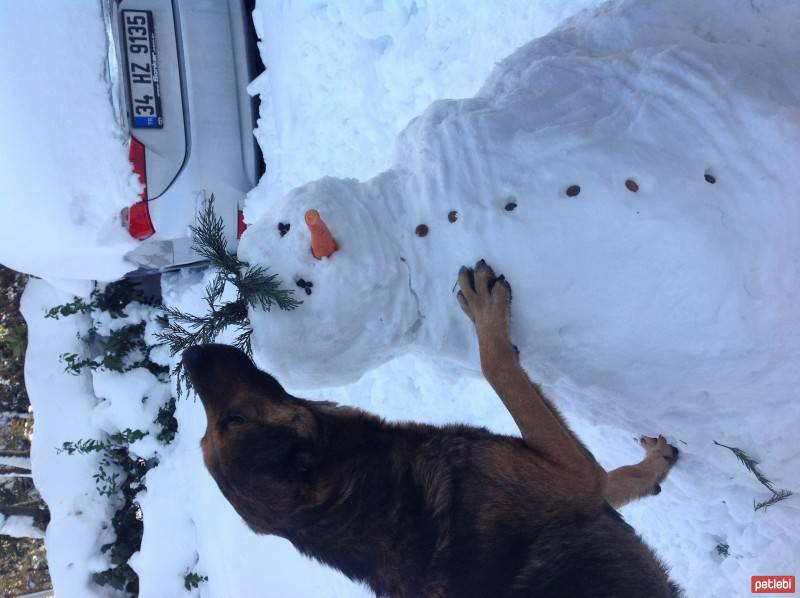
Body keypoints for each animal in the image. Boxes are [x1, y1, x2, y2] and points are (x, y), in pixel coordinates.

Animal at [183, 262, 680, 598]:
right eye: (234, 420)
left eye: (210, 434)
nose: (188, 356)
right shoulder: (576, 475)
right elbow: (498, 367)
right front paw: (486, 314)